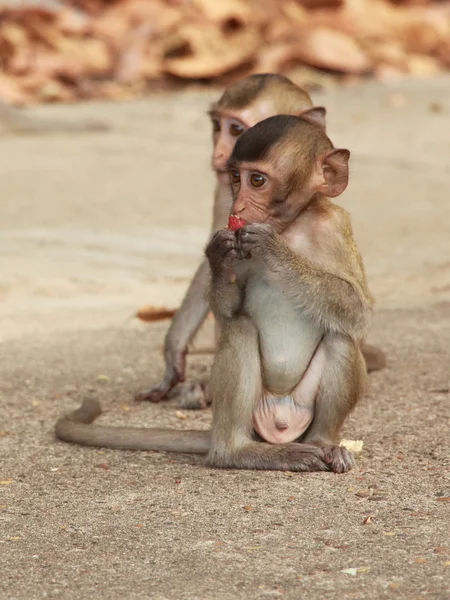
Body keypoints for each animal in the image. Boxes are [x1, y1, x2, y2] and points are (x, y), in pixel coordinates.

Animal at [56, 116, 372, 474]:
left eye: (257, 180)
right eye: (235, 177)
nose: (237, 206)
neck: (290, 226)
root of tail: (279, 423)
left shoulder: (336, 226)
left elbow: (358, 311)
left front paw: (274, 250)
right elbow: (228, 313)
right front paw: (218, 257)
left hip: (300, 409)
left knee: (341, 337)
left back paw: (323, 444)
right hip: (254, 414)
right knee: (241, 329)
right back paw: (237, 451)